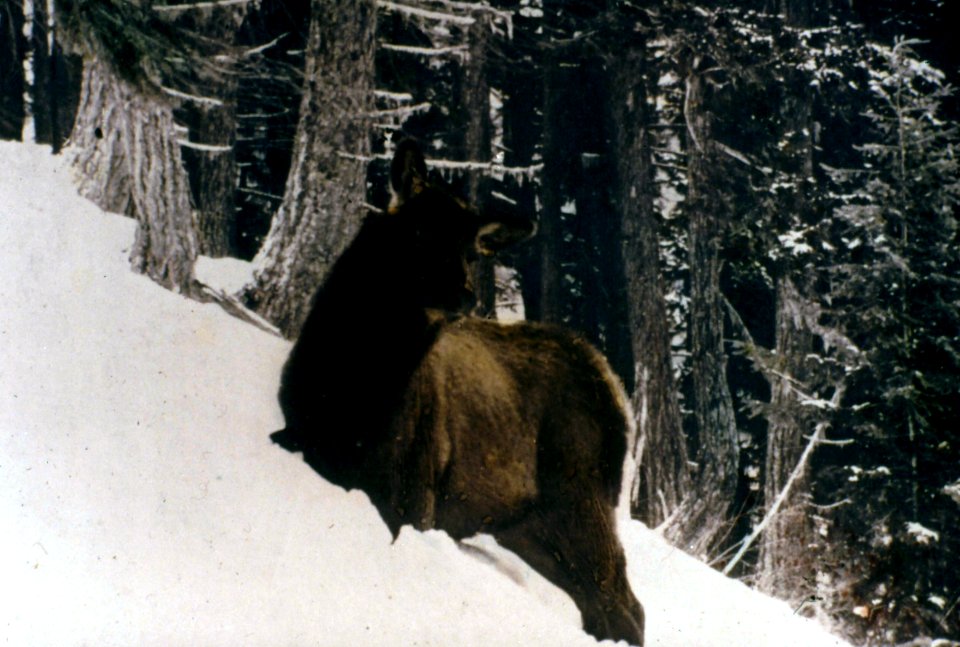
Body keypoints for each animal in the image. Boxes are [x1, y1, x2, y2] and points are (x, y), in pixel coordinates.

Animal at [270, 139, 644, 644]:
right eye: (420, 229)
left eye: (470, 250)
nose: (464, 294)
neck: (348, 394)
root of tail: (617, 395)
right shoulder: (298, 438)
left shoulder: (412, 491)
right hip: (526, 526)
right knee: (602, 604)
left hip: (580, 497)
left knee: (625, 605)